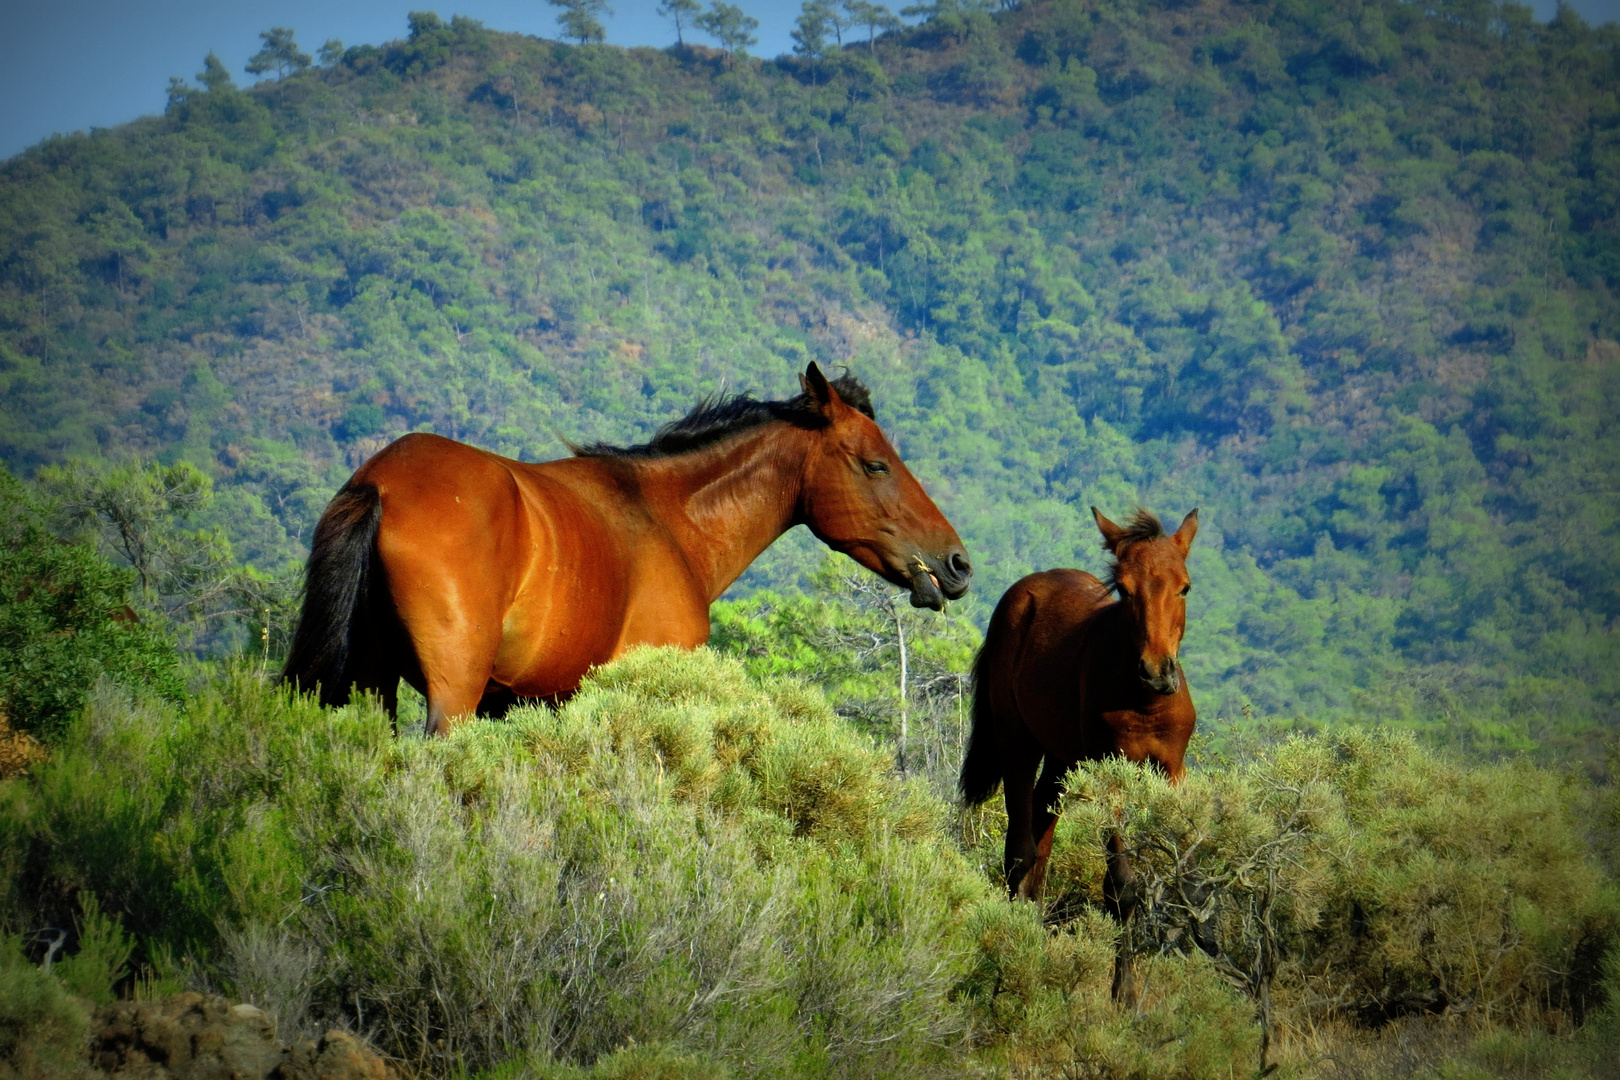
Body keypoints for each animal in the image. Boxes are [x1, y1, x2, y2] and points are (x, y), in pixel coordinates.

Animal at [283, 362, 965, 735]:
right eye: (876, 464)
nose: (957, 563)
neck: (665, 519)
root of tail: (380, 482)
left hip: (376, 687)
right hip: (451, 697)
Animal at [959, 508, 1205, 1003]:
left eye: (1185, 587)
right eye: (1124, 590)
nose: (1157, 672)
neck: (1144, 704)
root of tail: (1025, 589)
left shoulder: (1172, 770)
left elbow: (1182, 877)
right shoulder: (1112, 776)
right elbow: (1122, 886)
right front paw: (1123, 993)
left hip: (1062, 758)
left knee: (1040, 841)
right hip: (1018, 741)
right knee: (1020, 849)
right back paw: (1014, 959)